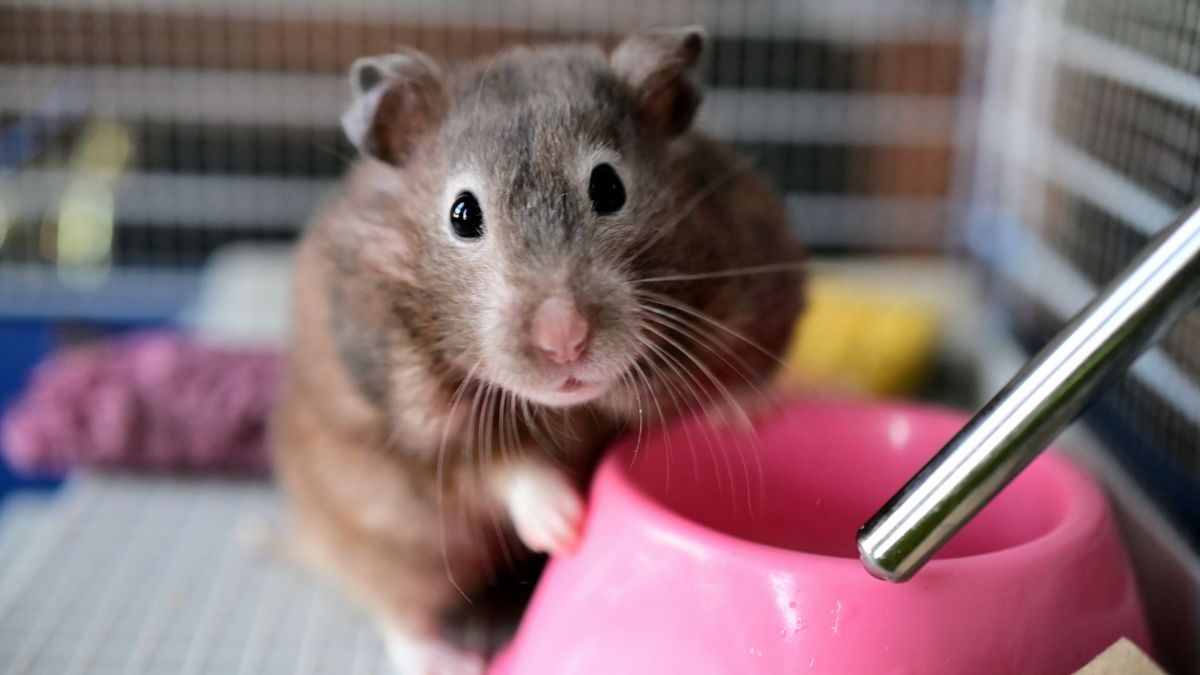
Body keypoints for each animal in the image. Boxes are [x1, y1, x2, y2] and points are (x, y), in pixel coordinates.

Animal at [272, 26, 806, 672]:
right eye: (462, 213)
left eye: (608, 186)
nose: (563, 339)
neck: (575, 412)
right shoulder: (413, 421)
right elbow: (498, 465)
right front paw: (567, 525)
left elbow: (745, 374)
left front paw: (744, 414)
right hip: (384, 531)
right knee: (397, 606)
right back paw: (453, 658)